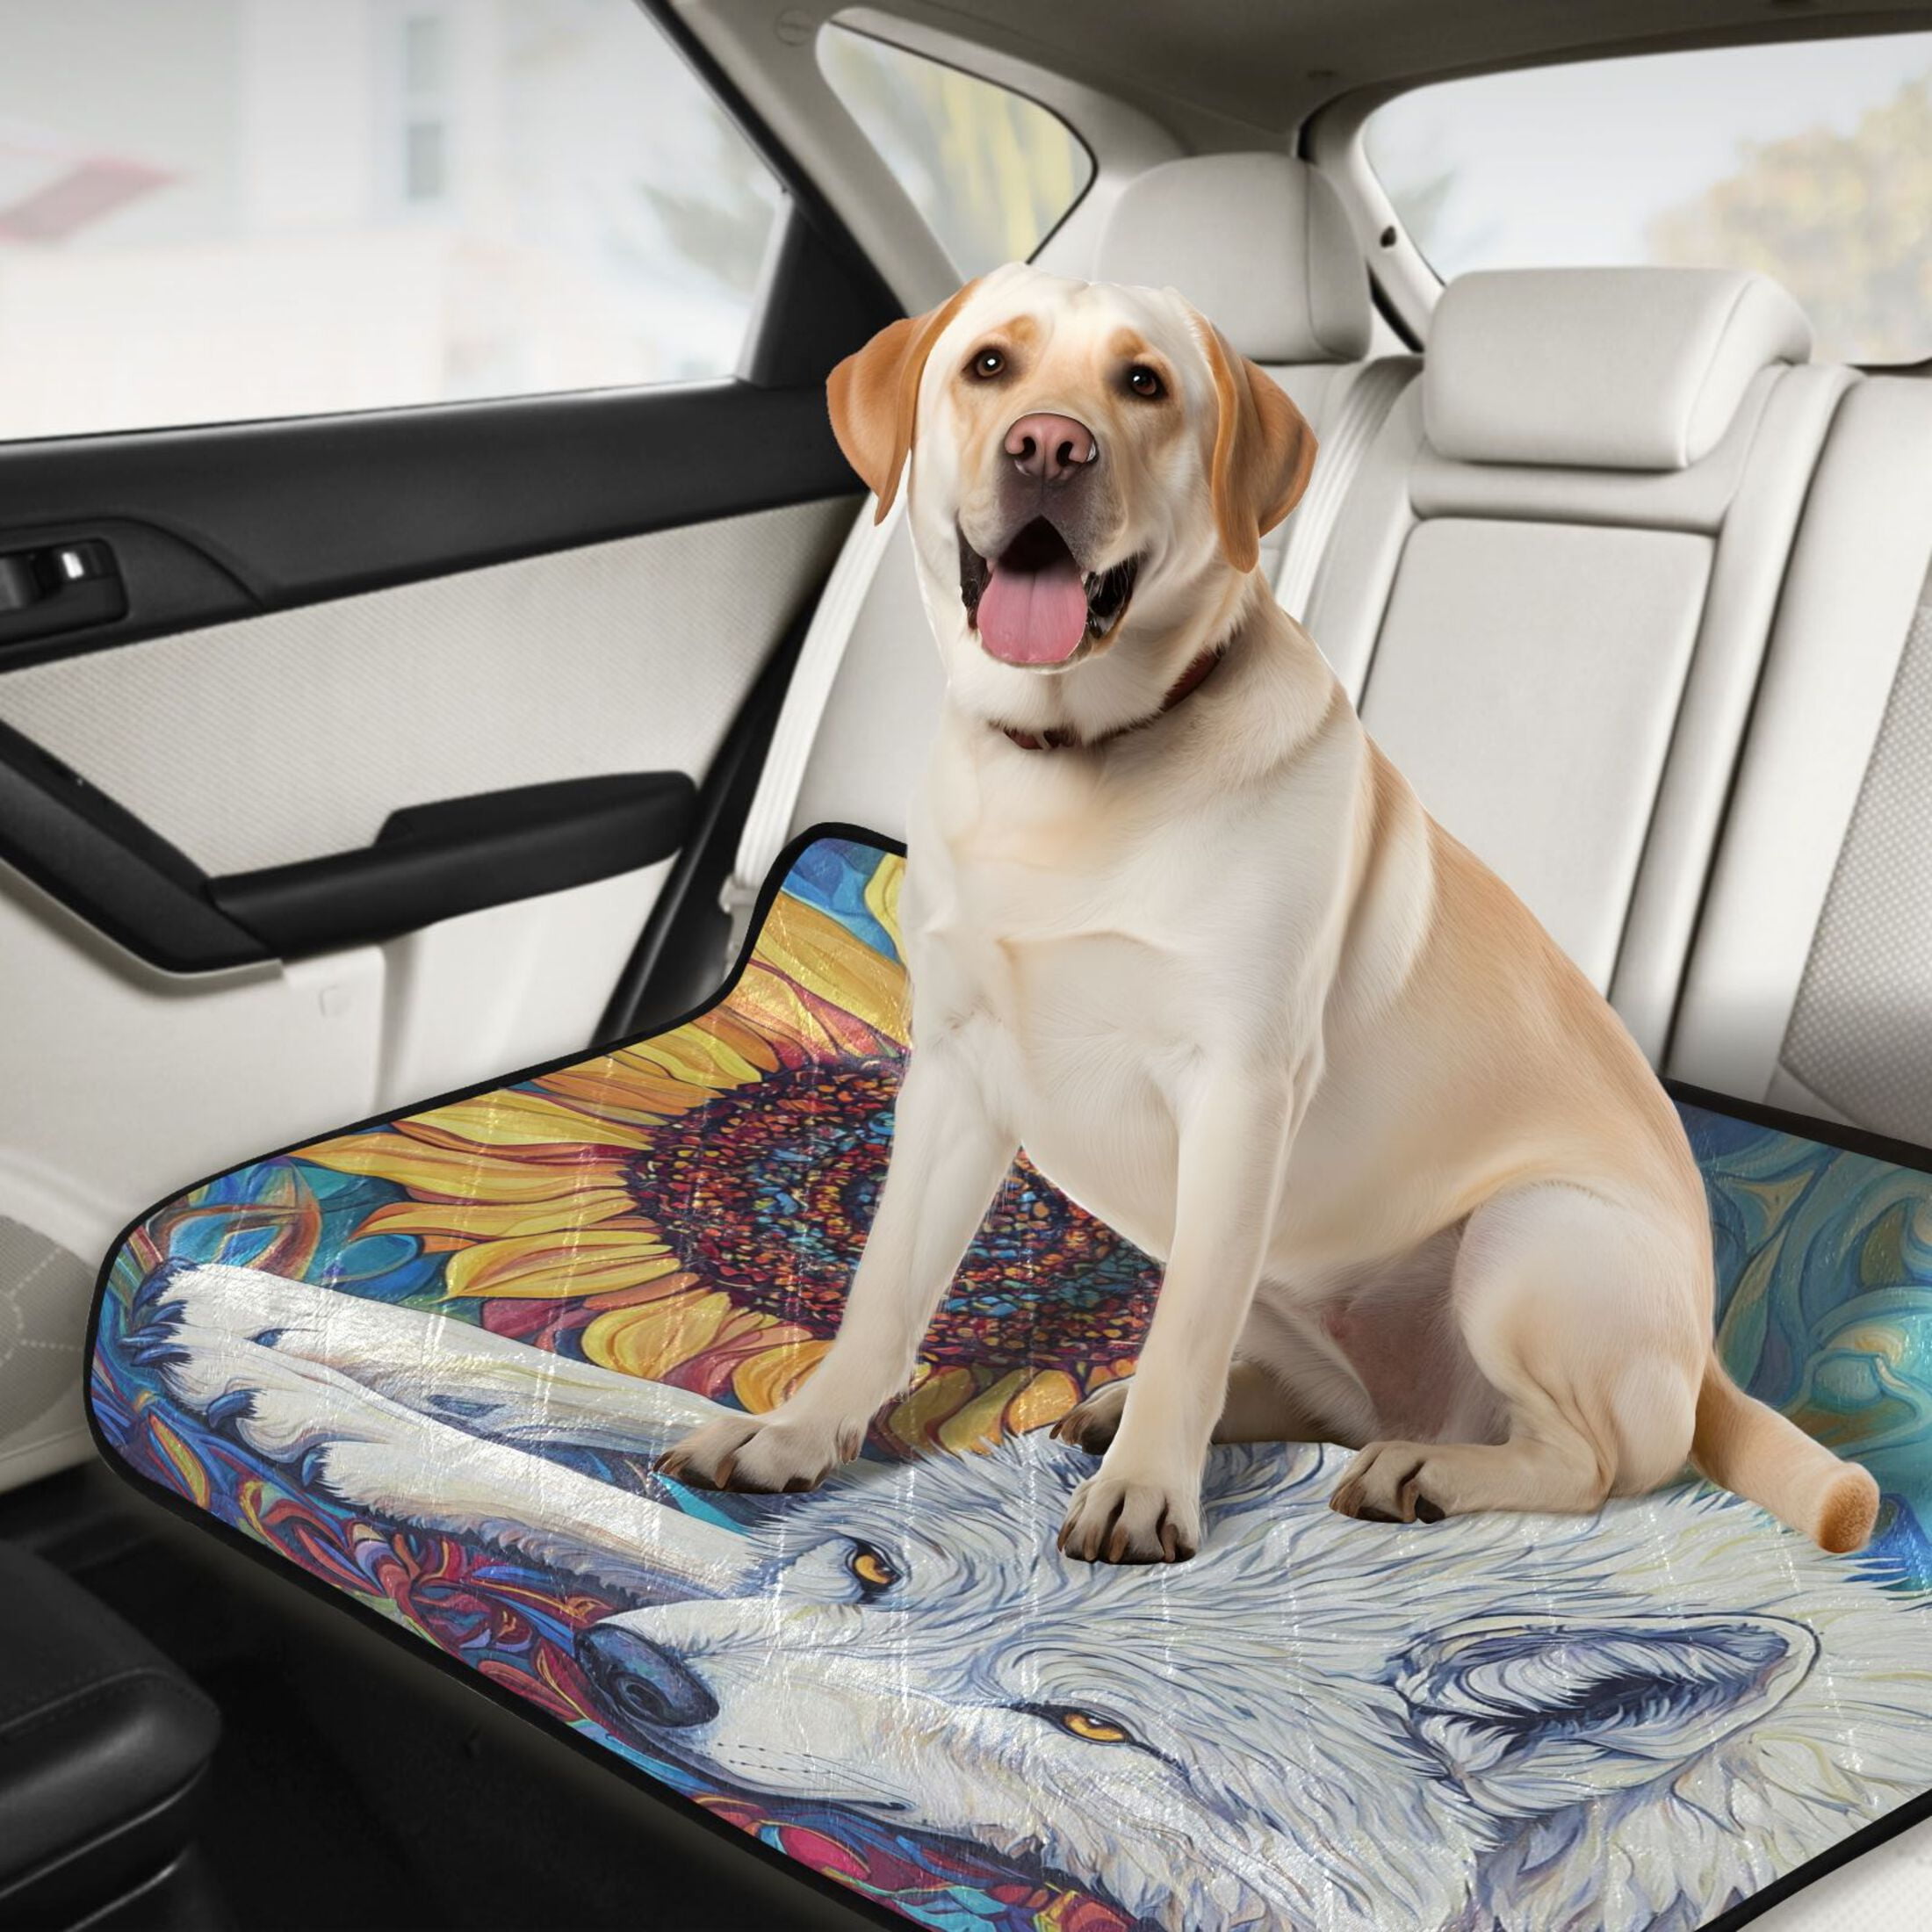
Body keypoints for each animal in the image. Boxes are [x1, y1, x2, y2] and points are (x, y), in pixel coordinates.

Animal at [124, 1259, 1932, 1932]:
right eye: (873, 1577)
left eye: (1088, 1730)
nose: (637, 1689)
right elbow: (665, 1470)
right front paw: (278, 1326)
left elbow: (607, 1503)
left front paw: (316, 1402)